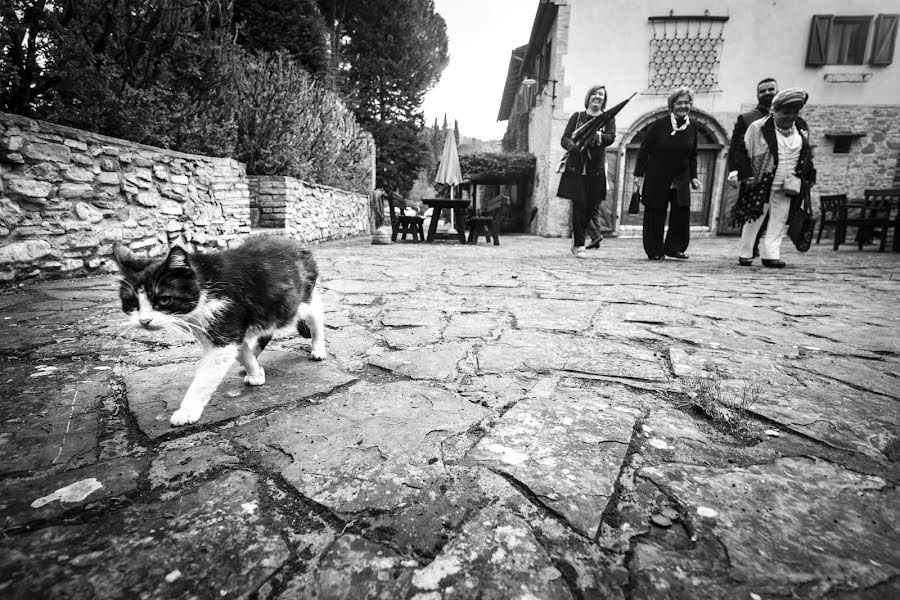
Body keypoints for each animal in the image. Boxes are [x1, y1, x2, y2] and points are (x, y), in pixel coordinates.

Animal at [110, 234, 326, 426]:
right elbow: (241, 351)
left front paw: (186, 411)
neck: (204, 286)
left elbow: (205, 378)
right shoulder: (227, 328)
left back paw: (318, 349)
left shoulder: (225, 324)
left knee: (315, 315)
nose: (144, 321)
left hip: (297, 302)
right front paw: (255, 372)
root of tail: (299, 245)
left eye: (164, 300)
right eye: (131, 302)